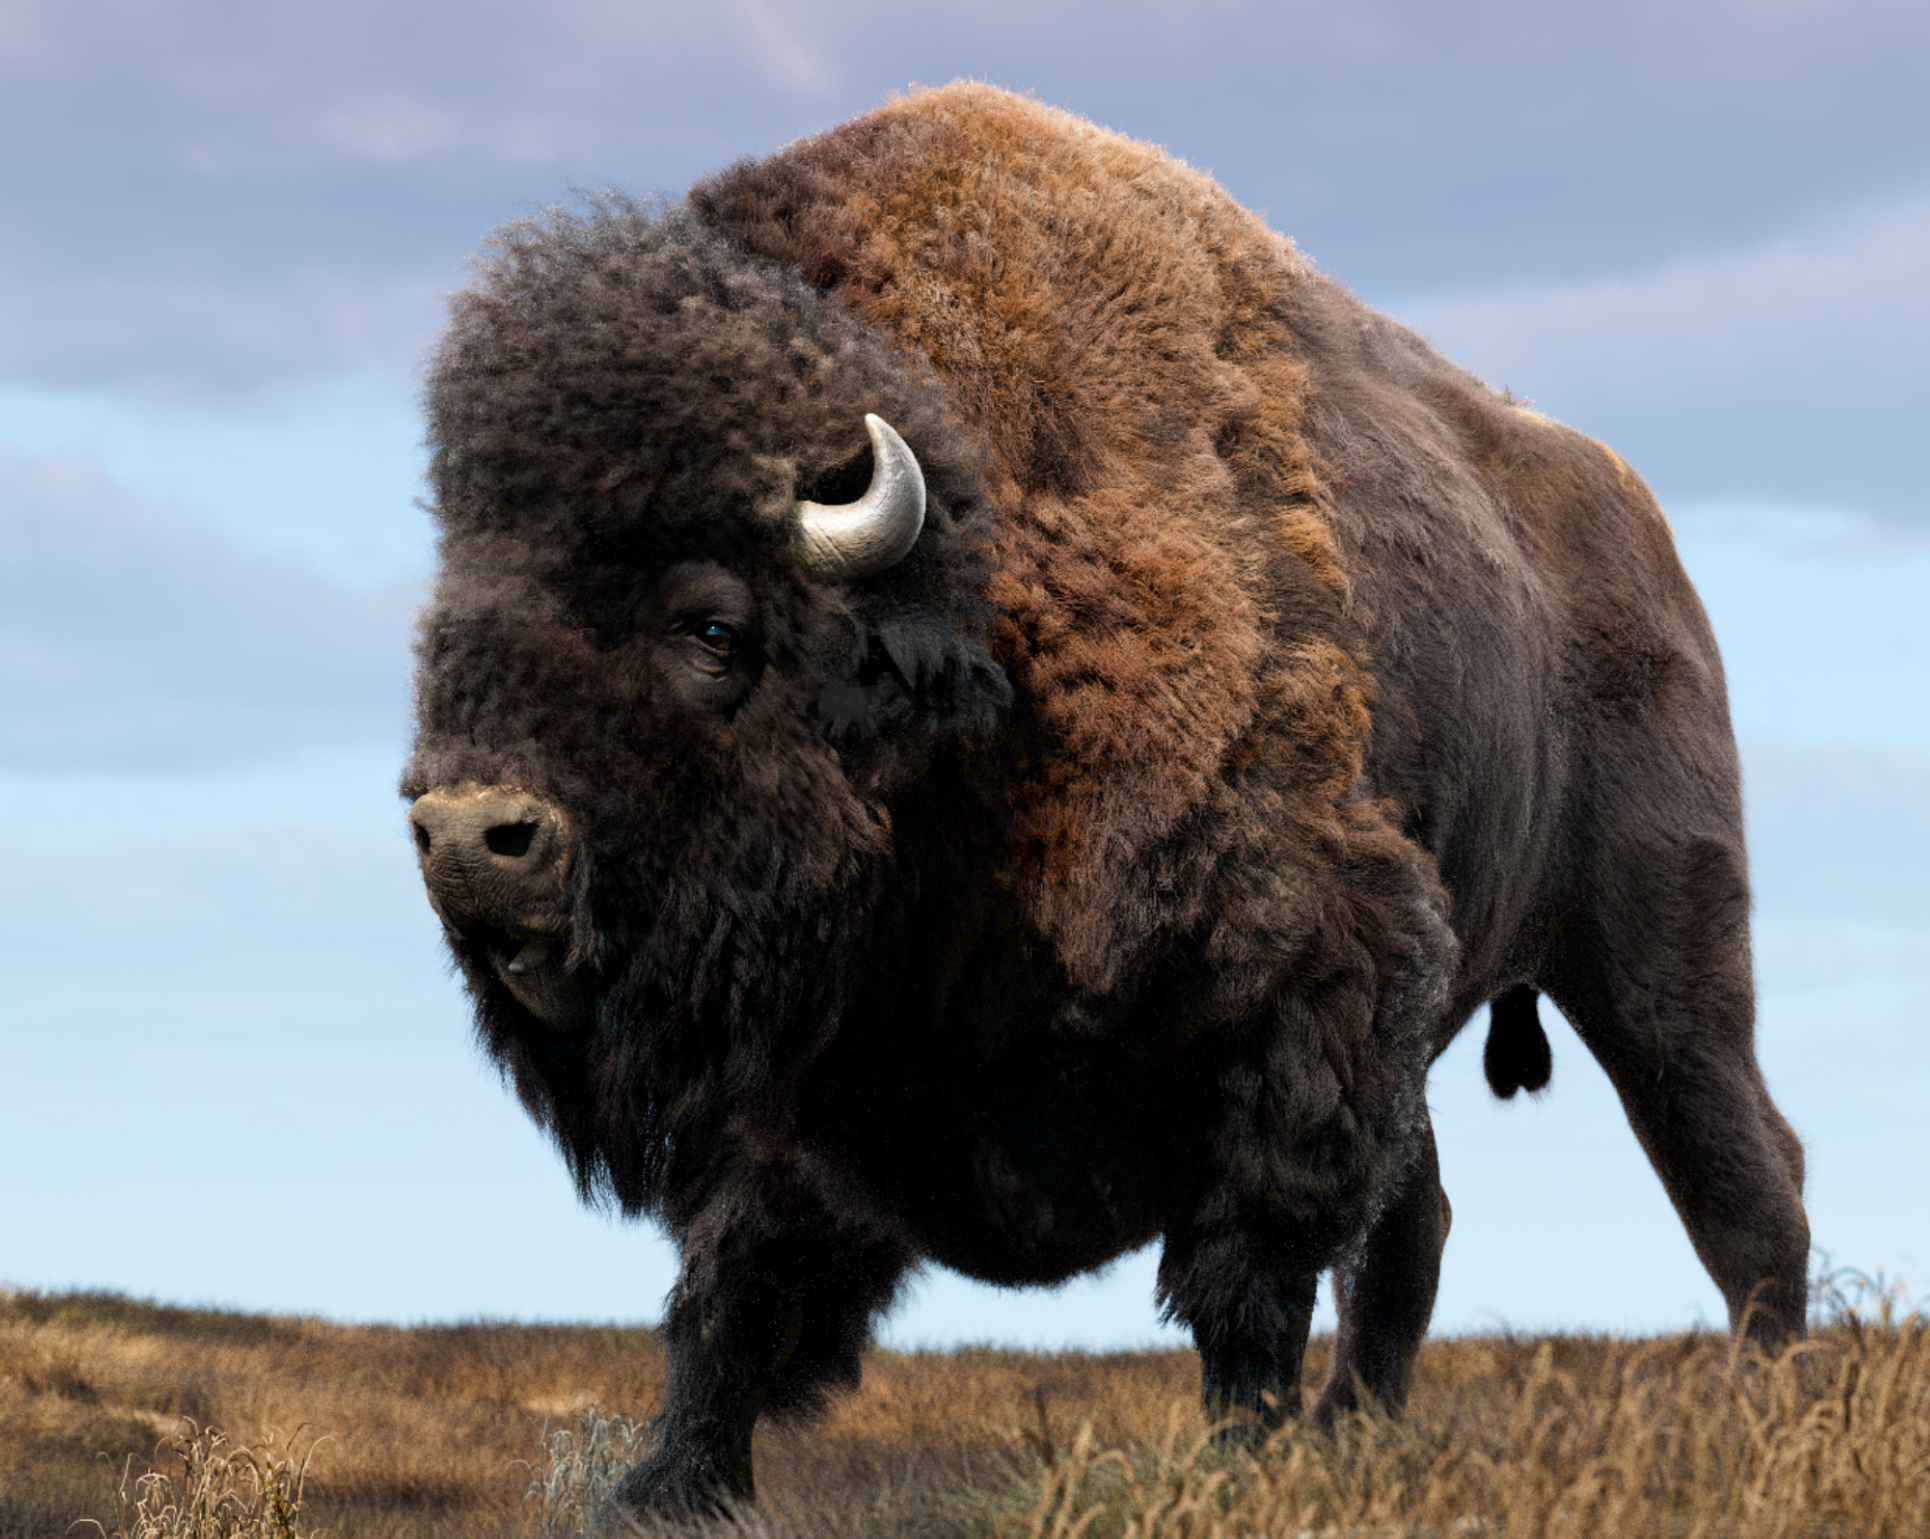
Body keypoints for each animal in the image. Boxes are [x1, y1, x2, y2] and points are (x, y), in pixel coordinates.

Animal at [403, 83, 1810, 1521]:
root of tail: (1641, 535)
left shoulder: (1302, 993)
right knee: (1416, 1226)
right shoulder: (790, 1067)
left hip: (1658, 956)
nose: (472, 836)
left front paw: (1237, 1468)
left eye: (710, 623)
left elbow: (1244, 1277)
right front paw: (665, 1488)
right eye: (454, 625)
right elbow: (728, 1290)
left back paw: (1767, 1424)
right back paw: (1354, 1435)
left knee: (1741, 1174)